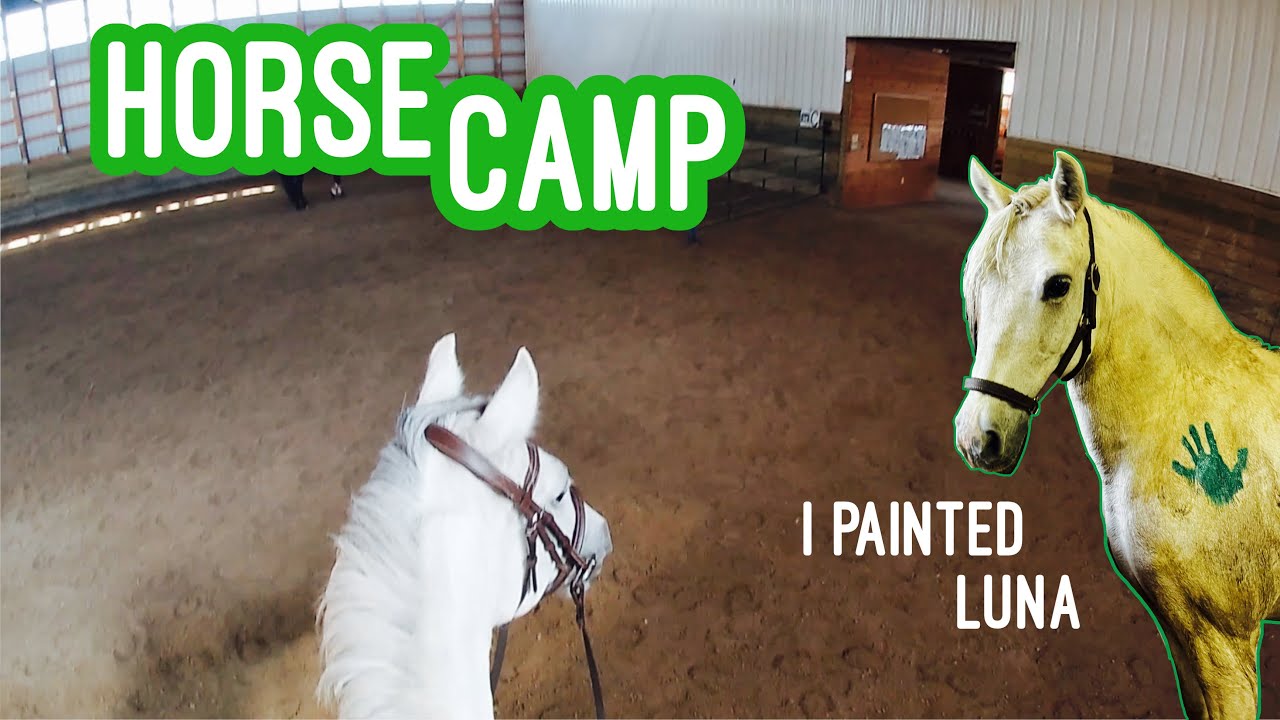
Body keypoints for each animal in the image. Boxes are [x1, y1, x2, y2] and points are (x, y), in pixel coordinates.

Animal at [953, 150, 1279, 719]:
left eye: (1058, 285)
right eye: (976, 284)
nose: (980, 440)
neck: (1177, 408)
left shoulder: (1226, 644)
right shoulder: (1185, 638)